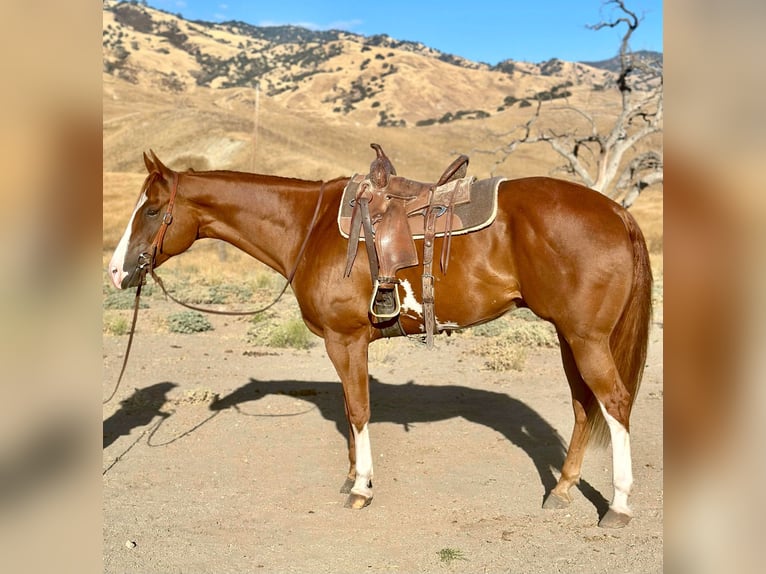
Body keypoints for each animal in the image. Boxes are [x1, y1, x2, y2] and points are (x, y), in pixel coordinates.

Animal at [108, 150, 656, 532]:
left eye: (152, 211)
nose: (115, 271)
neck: (308, 228)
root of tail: (617, 213)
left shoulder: (345, 340)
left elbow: (358, 410)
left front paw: (362, 489)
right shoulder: (345, 345)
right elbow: (350, 412)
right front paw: (353, 476)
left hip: (586, 339)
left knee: (614, 402)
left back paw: (619, 506)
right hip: (569, 337)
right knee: (584, 406)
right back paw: (560, 490)